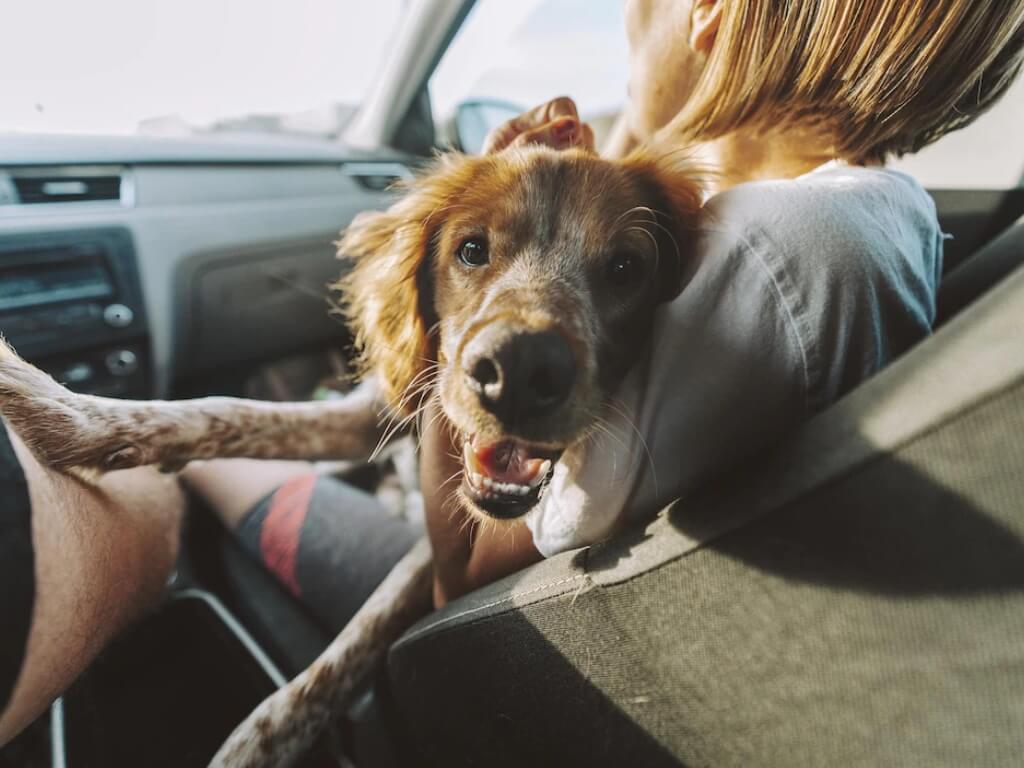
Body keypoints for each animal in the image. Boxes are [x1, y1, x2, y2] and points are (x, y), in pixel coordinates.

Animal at [0, 145, 704, 768]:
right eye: (472, 250)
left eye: (626, 269)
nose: (520, 369)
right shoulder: (377, 414)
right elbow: (227, 412)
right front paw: (69, 415)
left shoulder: (434, 548)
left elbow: (352, 645)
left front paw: (254, 747)